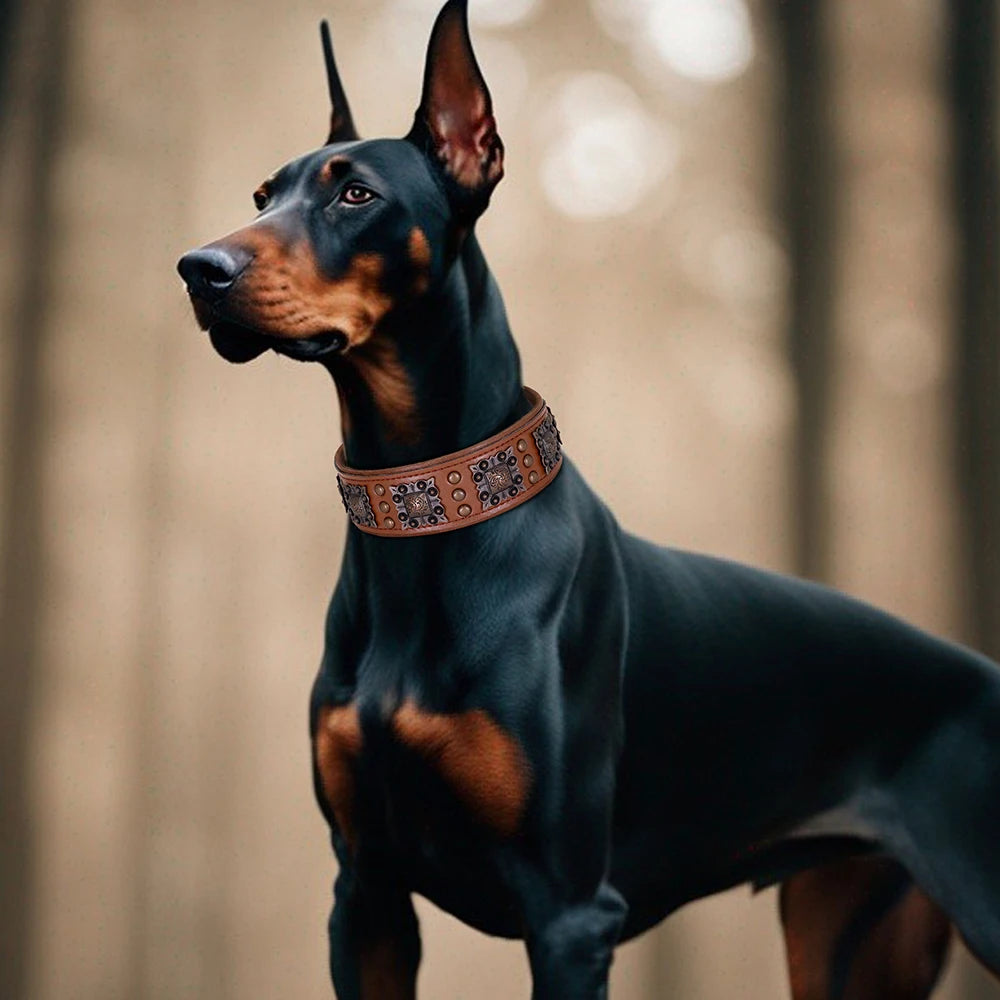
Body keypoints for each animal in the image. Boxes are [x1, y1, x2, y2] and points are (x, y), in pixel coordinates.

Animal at [178, 3, 1000, 996]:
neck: (426, 512)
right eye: (264, 194)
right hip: (849, 928)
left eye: (356, 196)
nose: (198, 268)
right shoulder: (366, 894)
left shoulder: (569, 913)